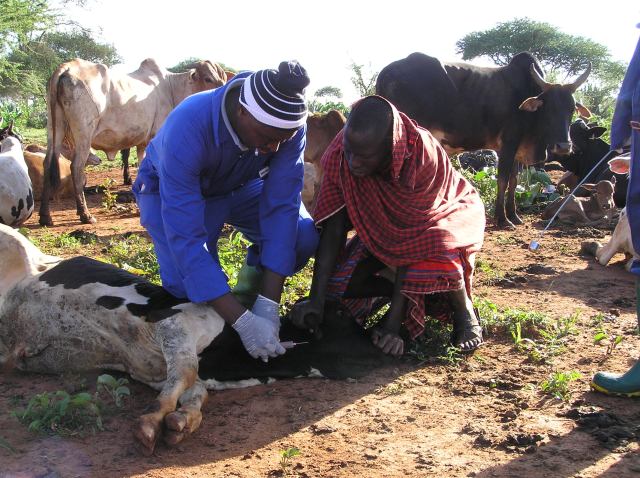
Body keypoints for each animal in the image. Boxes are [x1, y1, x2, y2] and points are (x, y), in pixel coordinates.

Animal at [0, 224, 392, 452]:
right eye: (342, 315)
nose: (386, 341)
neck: (231, 359)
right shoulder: (173, 326)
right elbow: (185, 375)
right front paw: (150, 423)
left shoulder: (173, 371)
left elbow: (193, 394)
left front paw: (181, 422)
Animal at [39, 57, 228, 226]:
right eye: (208, 78)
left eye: (223, 77)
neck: (172, 88)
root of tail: (66, 67)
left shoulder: (143, 143)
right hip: (83, 133)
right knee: (76, 168)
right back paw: (85, 215)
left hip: (55, 128)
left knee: (48, 163)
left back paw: (45, 217)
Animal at [378, 51, 592, 230]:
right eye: (548, 108)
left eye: (572, 109)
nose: (564, 146)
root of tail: (385, 73)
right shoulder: (508, 145)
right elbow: (503, 180)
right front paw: (502, 219)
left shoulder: (515, 151)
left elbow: (514, 181)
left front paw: (514, 215)